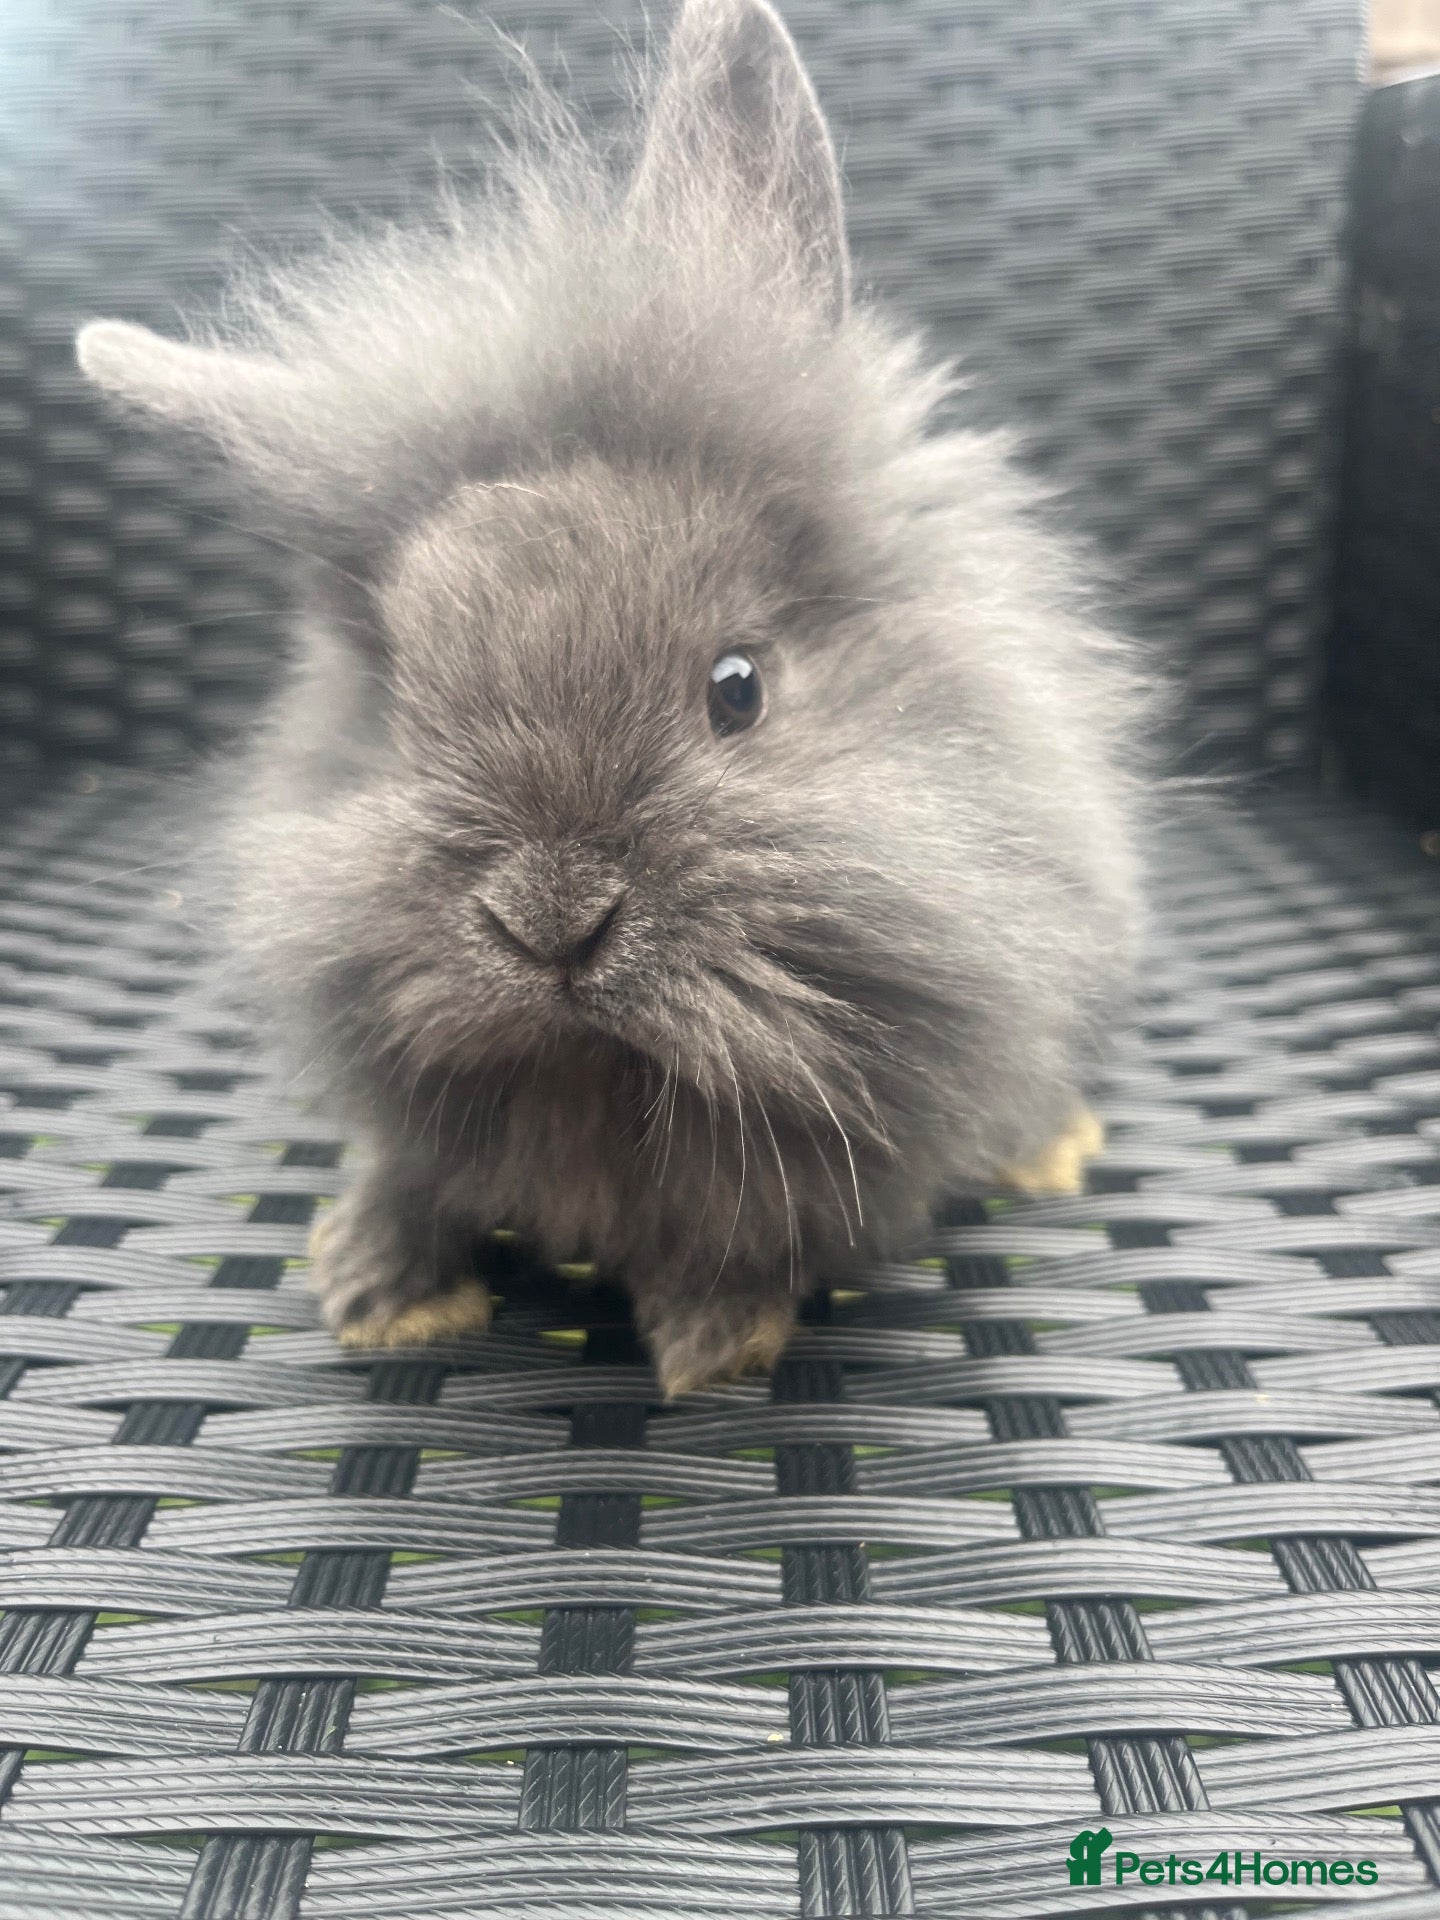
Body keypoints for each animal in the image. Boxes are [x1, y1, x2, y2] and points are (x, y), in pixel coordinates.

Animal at [76, 0, 1143, 1396]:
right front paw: (373, 1291)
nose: (551, 923)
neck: (598, 1081)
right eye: (401, 714)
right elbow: (412, 1176)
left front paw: (712, 1344)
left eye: (738, 690)